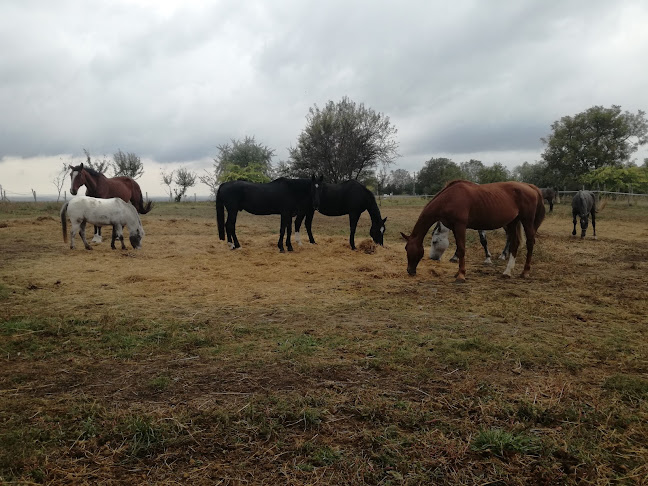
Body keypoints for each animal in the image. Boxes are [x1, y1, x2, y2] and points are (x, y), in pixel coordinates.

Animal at [400, 180, 548, 282]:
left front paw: (461, 275)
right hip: (512, 222)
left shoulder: (460, 226)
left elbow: (461, 249)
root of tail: (530, 187)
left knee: (530, 242)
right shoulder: (455, 227)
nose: (410, 271)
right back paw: (507, 272)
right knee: (514, 244)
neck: (450, 198)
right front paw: (458, 271)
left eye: (435, 242)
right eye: (405, 248)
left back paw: (525, 272)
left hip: (526, 221)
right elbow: (459, 249)